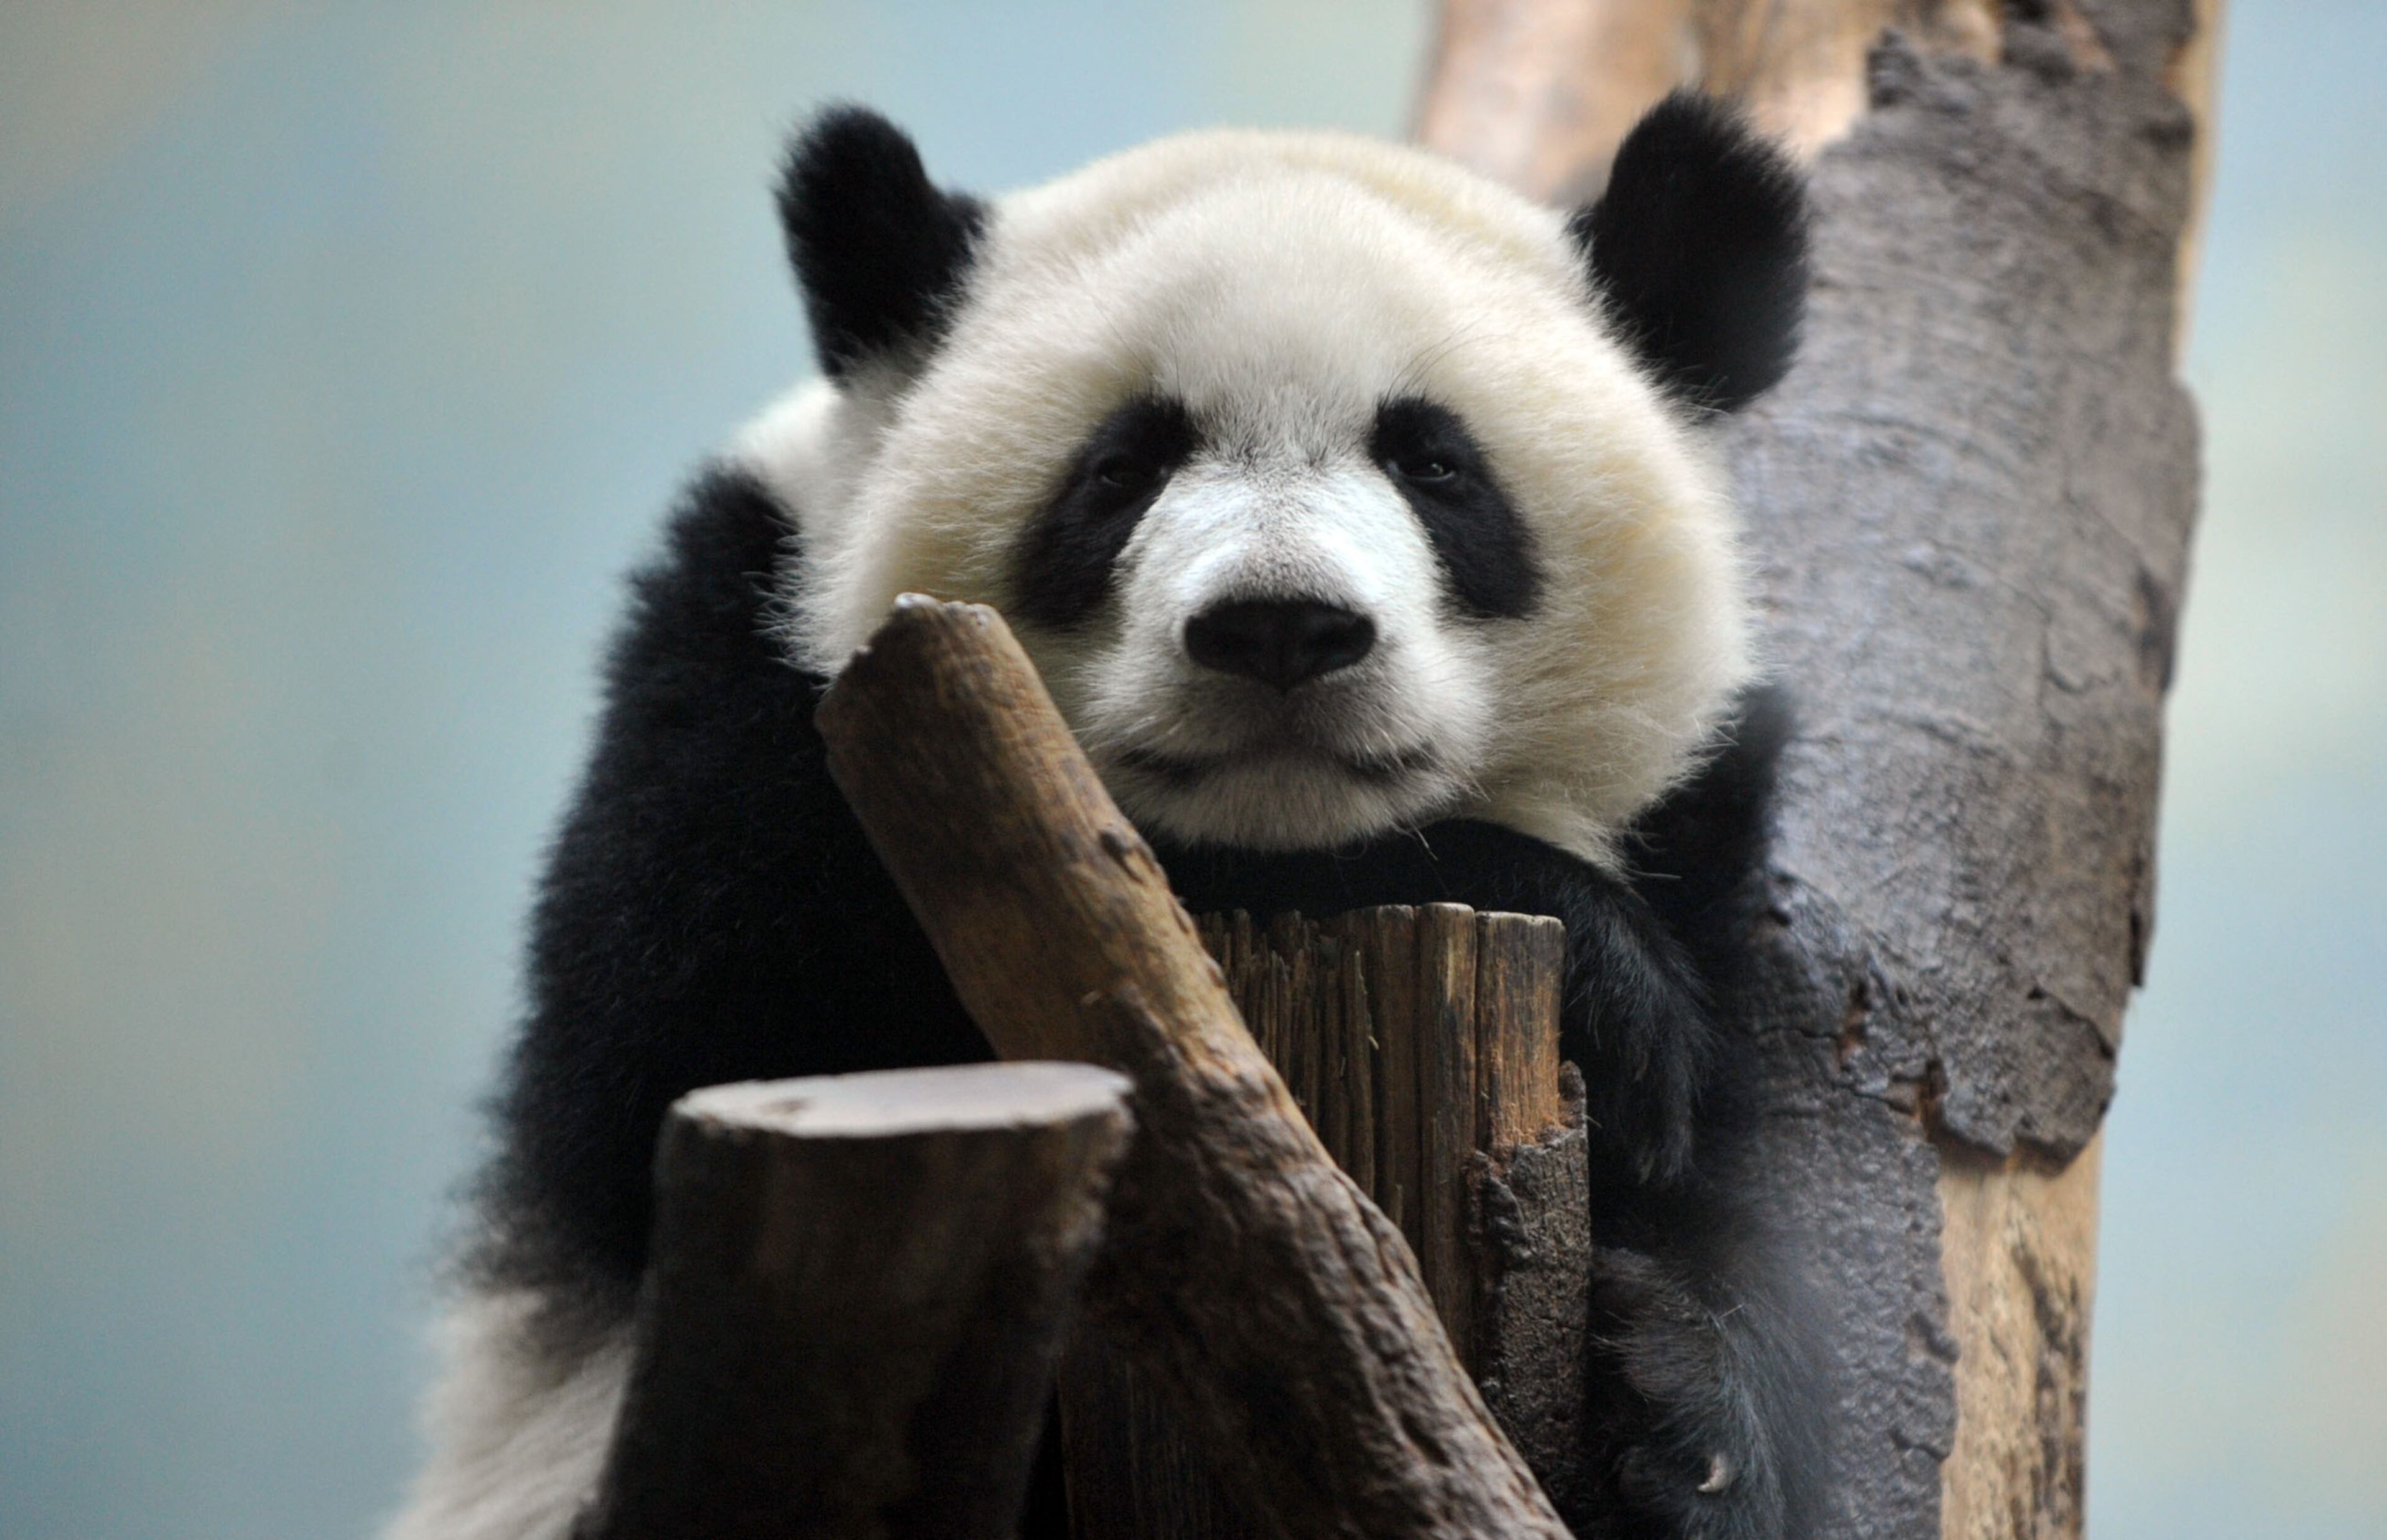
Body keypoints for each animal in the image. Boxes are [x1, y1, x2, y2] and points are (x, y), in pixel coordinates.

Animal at [388, 96, 1826, 1540]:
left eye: (1434, 463)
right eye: (1123, 468)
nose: (1279, 626)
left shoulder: (1705, 826)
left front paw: (1683, 1418)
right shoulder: (734, 658)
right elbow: (717, 1013)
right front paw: (1603, 971)